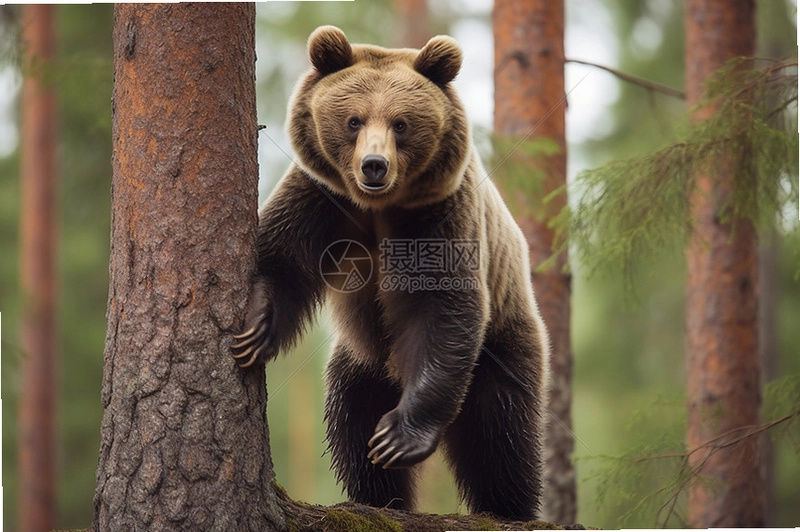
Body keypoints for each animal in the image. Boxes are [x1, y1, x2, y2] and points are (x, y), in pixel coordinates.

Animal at [232, 25, 550, 521]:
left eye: (401, 123)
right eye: (353, 120)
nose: (374, 166)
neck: (378, 207)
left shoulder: (438, 216)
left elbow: (442, 306)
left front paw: (400, 437)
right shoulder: (323, 198)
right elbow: (283, 259)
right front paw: (255, 330)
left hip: (503, 343)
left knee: (502, 435)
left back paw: (509, 509)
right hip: (360, 363)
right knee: (350, 424)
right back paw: (379, 498)